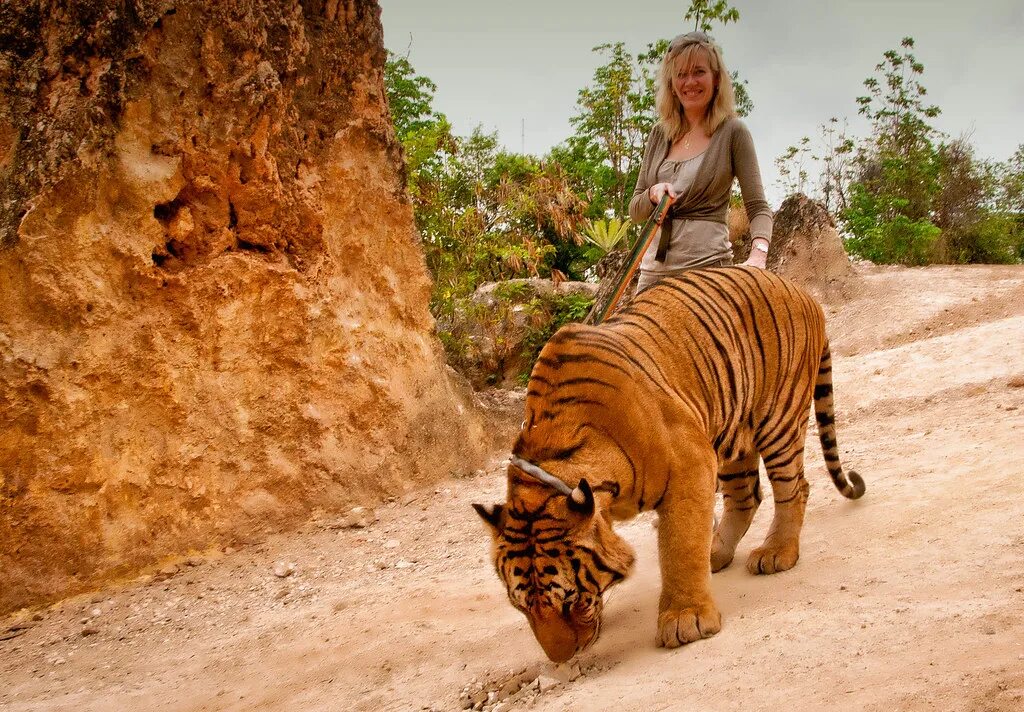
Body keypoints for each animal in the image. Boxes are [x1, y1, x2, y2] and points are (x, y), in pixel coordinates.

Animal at [471, 266, 864, 663]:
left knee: (795, 488)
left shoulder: (689, 464)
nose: (562, 659)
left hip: (778, 419)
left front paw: (685, 619)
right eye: (522, 607)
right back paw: (716, 553)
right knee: (746, 497)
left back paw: (775, 553)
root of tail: (800, 290)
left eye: (571, 600)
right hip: (732, 430)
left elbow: (680, 546)